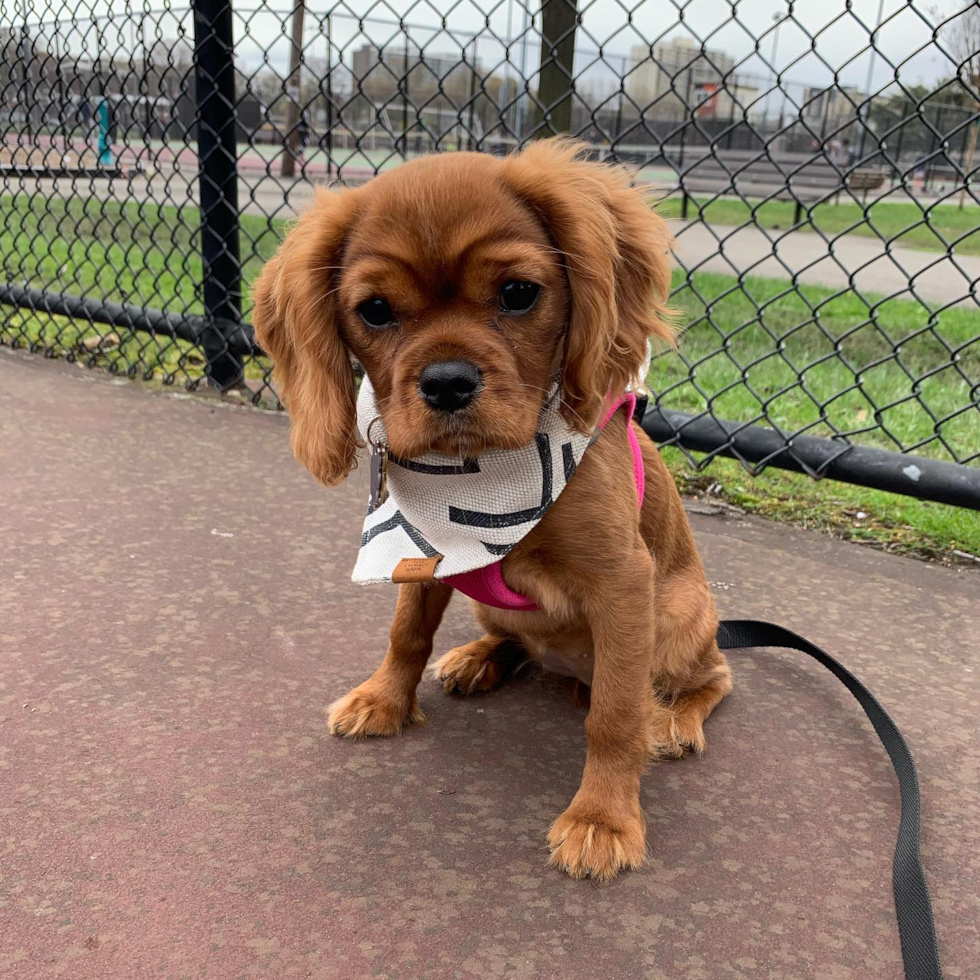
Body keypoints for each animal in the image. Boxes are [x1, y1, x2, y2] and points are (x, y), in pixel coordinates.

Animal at [253, 138, 728, 880]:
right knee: (517, 641)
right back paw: (479, 658)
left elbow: (616, 714)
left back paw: (675, 720)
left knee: (715, 676)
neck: (485, 480)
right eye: (375, 310)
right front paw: (384, 699)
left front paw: (603, 819)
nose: (447, 382)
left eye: (518, 294)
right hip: (497, 609)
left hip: (680, 617)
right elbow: (406, 632)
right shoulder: (424, 555)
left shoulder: (625, 584)